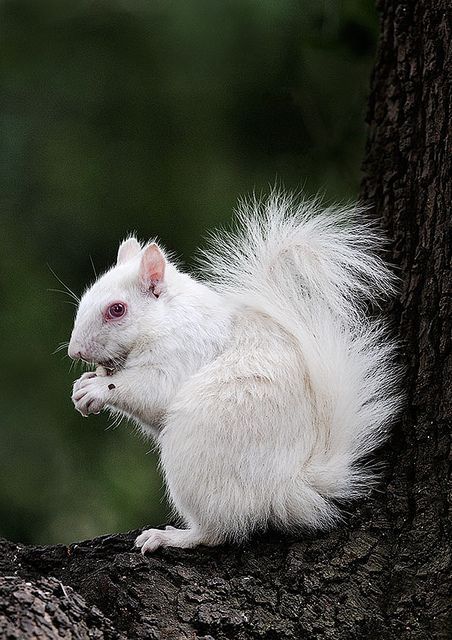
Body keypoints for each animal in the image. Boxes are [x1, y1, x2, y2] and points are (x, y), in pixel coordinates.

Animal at [66, 192, 400, 552]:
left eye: (117, 309)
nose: (75, 352)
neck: (167, 319)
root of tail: (286, 489)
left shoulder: (184, 352)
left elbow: (153, 391)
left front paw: (97, 389)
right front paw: (86, 382)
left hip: (196, 460)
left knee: (219, 530)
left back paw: (172, 537)